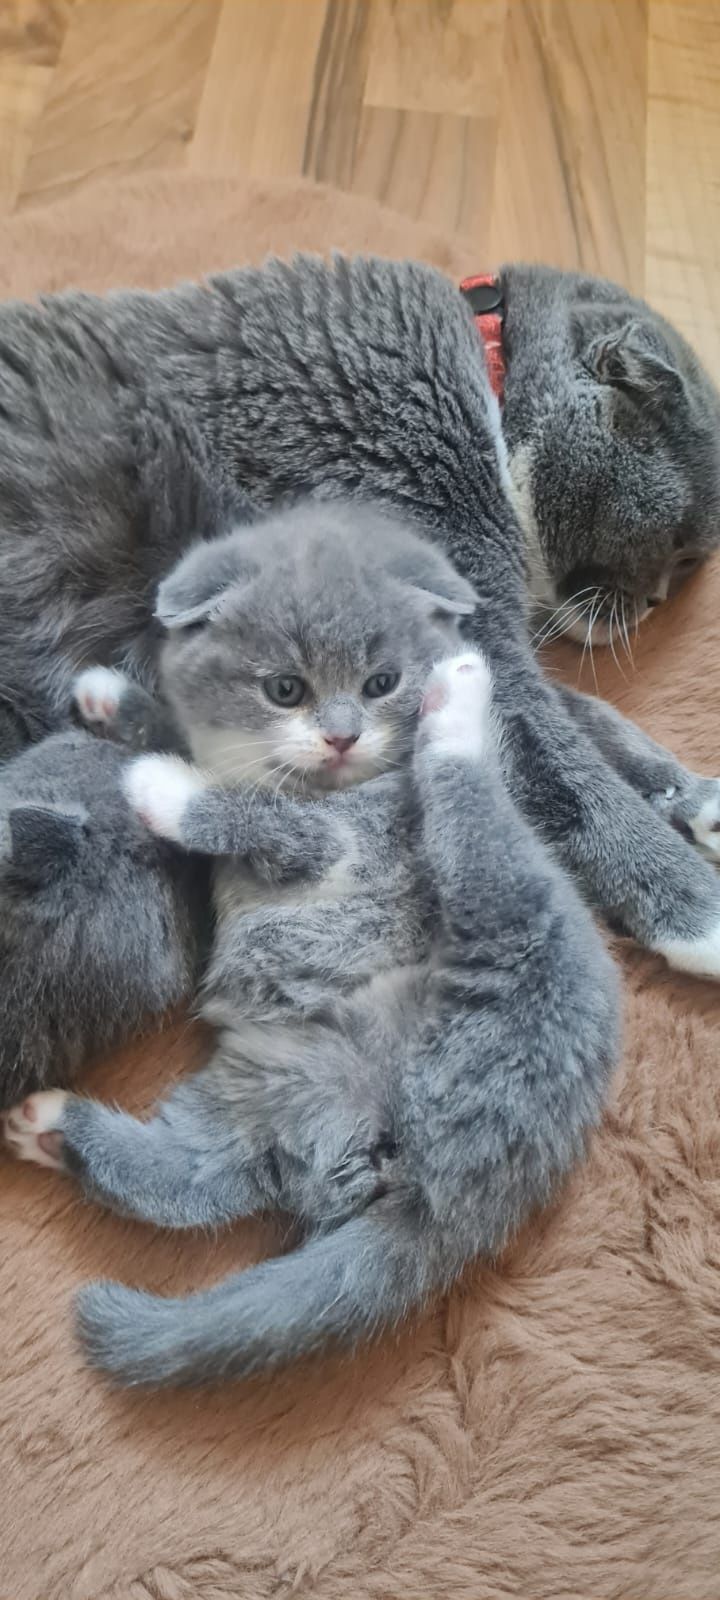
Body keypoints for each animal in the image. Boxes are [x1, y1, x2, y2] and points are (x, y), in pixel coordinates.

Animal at [1, 254, 720, 972]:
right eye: (681, 546)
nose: (655, 601)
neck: (487, 370)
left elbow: (591, 715)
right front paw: (696, 910)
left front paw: (692, 795)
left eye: (688, 563)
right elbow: (567, 766)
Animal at [1, 508, 617, 1388]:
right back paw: (54, 1128)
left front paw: (162, 784)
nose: (341, 736)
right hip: (274, 1085)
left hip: (514, 935)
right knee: (196, 1178)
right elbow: (197, 747)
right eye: (285, 689)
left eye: (381, 682)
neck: (329, 785)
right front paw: (115, 698)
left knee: (474, 822)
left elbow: (258, 816)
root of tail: (470, 1194)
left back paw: (460, 705)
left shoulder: (343, 839)